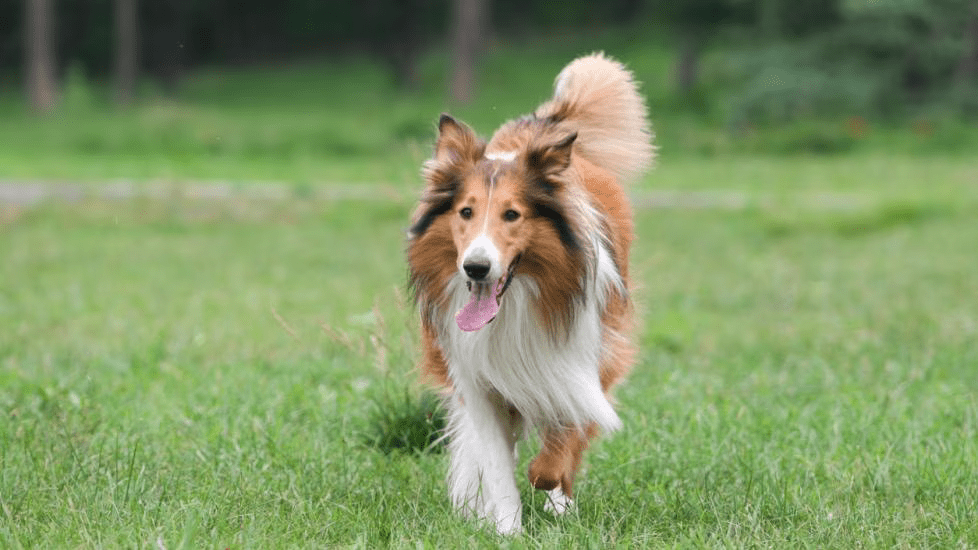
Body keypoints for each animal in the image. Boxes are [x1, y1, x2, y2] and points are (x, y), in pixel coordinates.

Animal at [408, 54, 652, 532]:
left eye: (512, 214)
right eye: (466, 212)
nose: (476, 267)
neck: (516, 304)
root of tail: (539, 127)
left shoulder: (583, 359)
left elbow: (563, 439)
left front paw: (549, 482)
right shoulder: (477, 380)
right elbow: (498, 464)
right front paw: (506, 527)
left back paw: (559, 499)